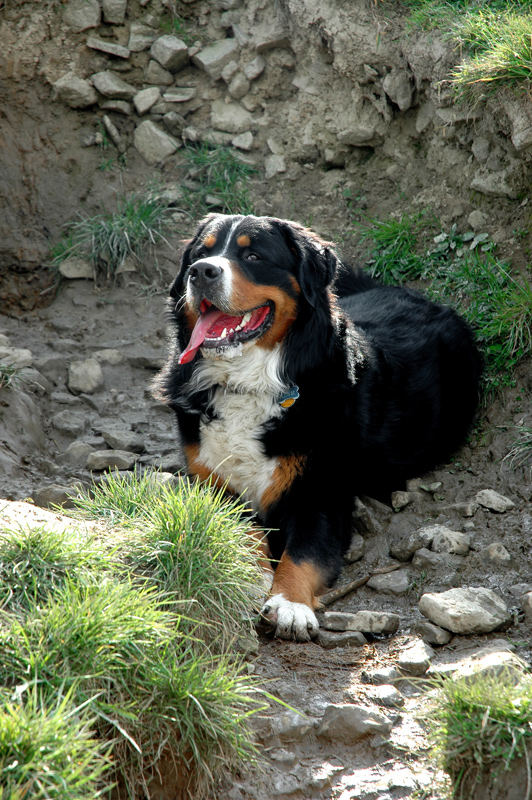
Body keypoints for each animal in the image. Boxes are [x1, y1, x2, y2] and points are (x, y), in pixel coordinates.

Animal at [156, 212, 484, 644]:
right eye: (201, 253)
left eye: (253, 255)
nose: (201, 272)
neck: (248, 383)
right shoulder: (211, 482)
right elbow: (241, 528)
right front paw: (249, 573)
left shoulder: (320, 492)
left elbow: (303, 554)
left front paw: (289, 605)